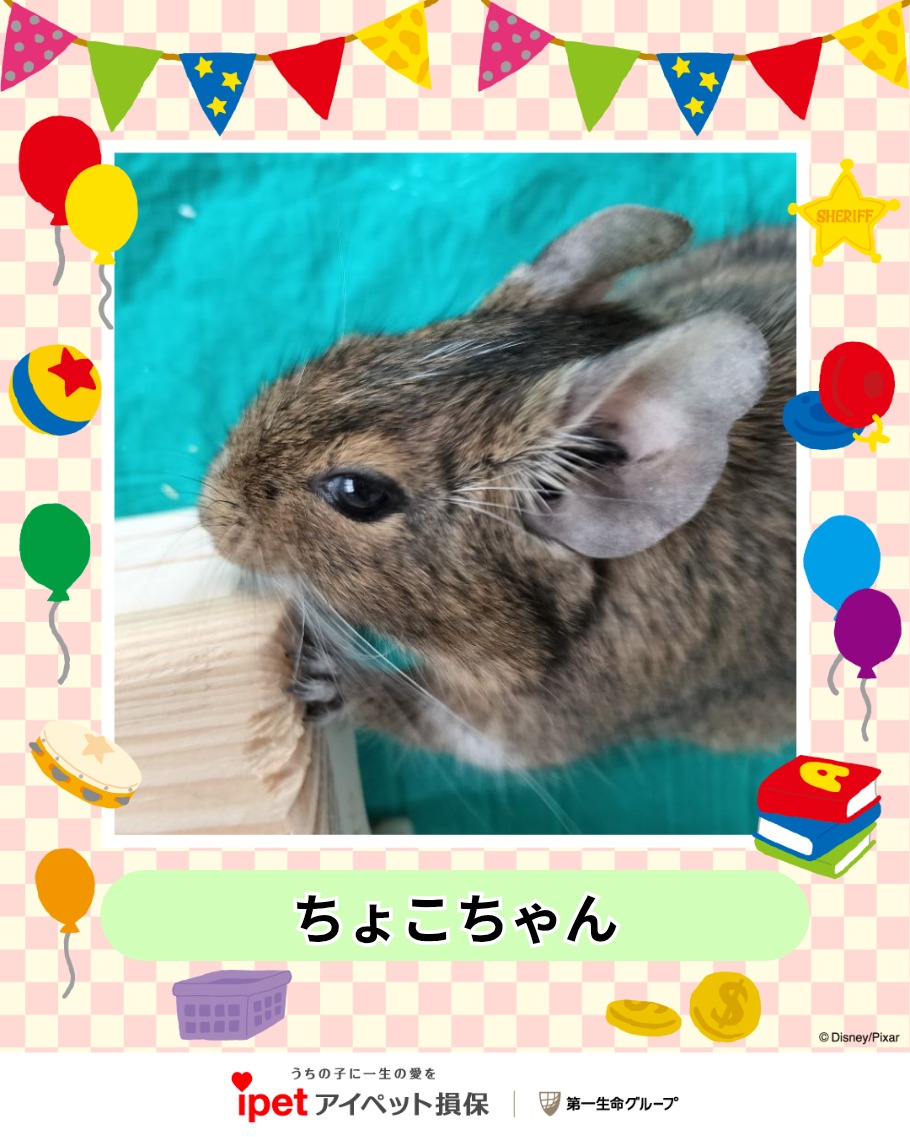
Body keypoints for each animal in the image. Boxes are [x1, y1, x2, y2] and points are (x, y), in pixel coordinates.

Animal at [200, 205, 796, 770]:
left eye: (358, 492)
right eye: (352, 347)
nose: (209, 515)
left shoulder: (550, 712)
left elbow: (442, 722)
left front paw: (328, 675)